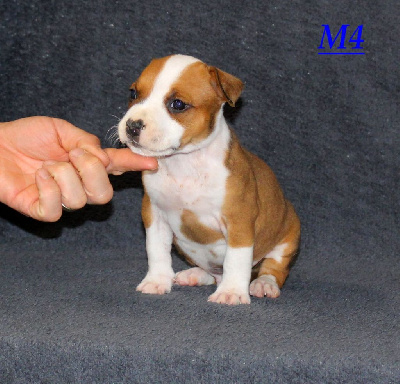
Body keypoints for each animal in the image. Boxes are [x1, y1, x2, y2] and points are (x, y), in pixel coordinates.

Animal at [119, 54, 300, 306]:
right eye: (133, 93)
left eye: (177, 104)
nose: (132, 125)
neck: (184, 163)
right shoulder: (154, 214)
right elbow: (156, 250)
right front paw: (157, 280)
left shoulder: (238, 221)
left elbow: (236, 260)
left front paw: (232, 292)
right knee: (213, 273)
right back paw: (194, 274)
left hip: (288, 235)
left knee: (274, 268)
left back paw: (263, 283)